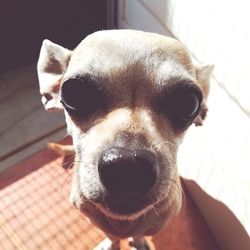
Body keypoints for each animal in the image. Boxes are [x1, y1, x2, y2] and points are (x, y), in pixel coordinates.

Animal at [37, 29, 213, 250]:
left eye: (189, 103)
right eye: (75, 93)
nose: (129, 166)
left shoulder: (157, 224)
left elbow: (140, 233)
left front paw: (139, 242)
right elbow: (111, 235)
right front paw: (112, 244)